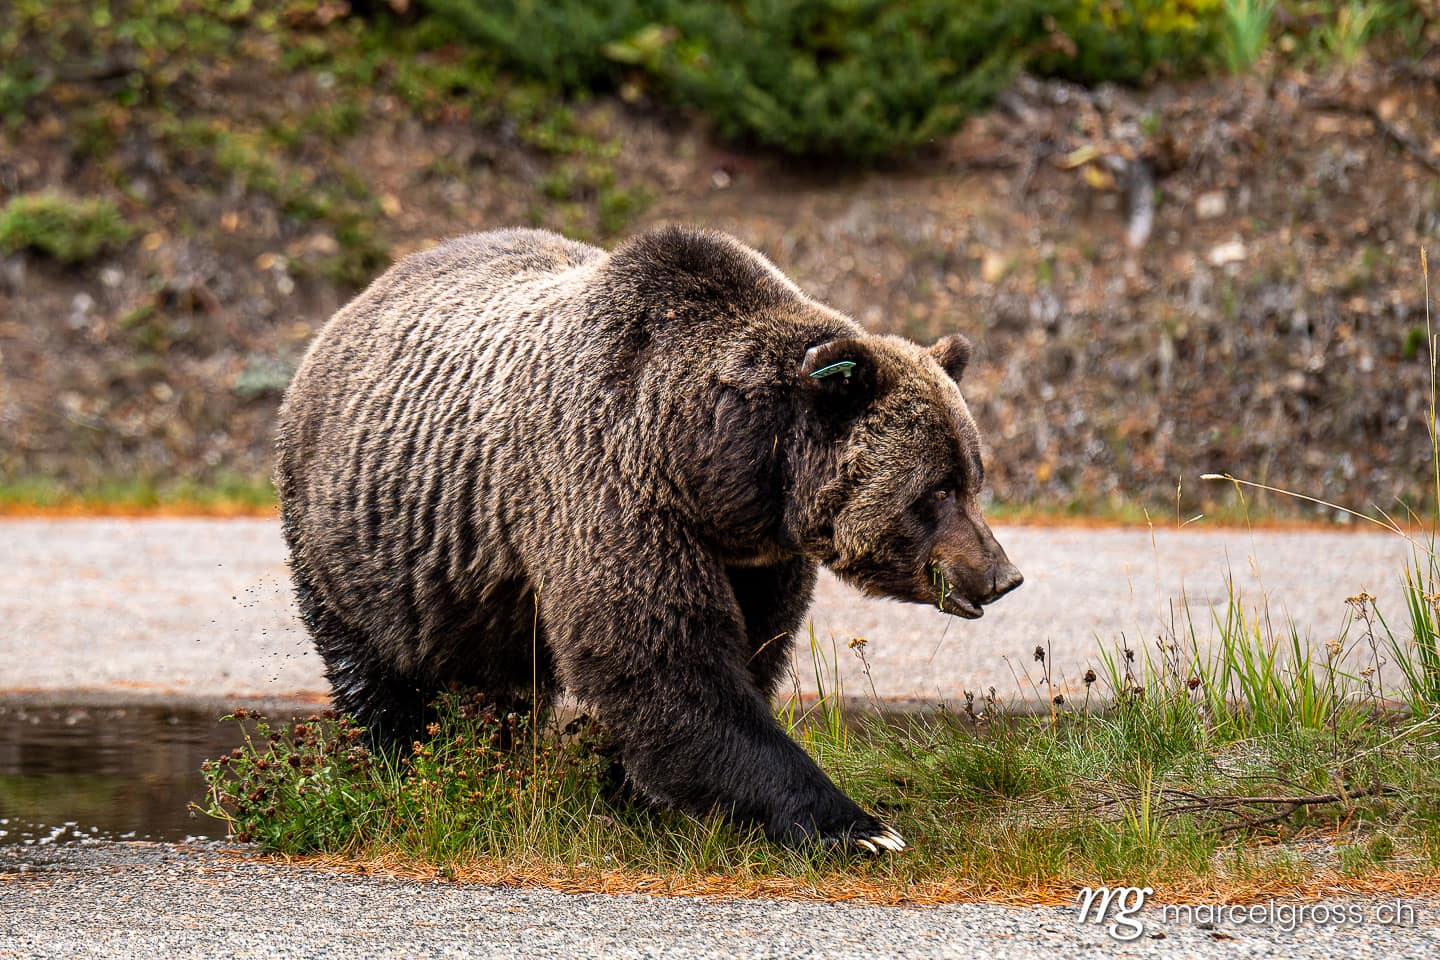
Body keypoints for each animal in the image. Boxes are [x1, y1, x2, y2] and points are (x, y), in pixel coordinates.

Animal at [274, 225, 1023, 851]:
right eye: (938, 490)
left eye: (974, 478)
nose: (1002, 575)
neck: (715, 467)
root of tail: (349, 310)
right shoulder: (608, 485)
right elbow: (665, 660)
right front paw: (857, 827)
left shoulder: (757, 558)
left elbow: (747, 650)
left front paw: (629, 786)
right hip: (356, 533)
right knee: (375, 667)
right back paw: (401, 764)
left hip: (473, 583)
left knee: (499, 685)